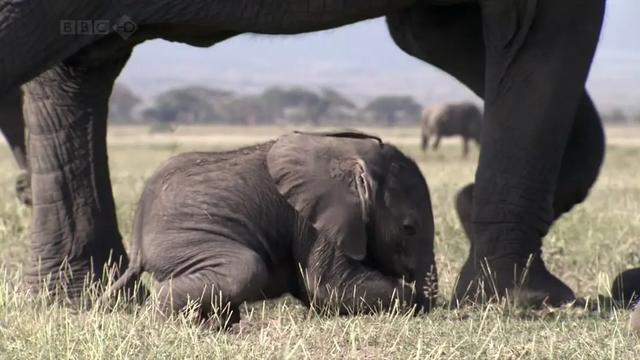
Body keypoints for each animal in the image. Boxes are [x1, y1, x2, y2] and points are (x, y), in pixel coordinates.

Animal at [107, 131, 438, 326]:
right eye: (409, 228)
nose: (433, 308)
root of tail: (137, 243)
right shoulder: (318, 218)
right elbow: (328, 287)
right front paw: (413, 301)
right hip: (181, 238)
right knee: (246, 267)